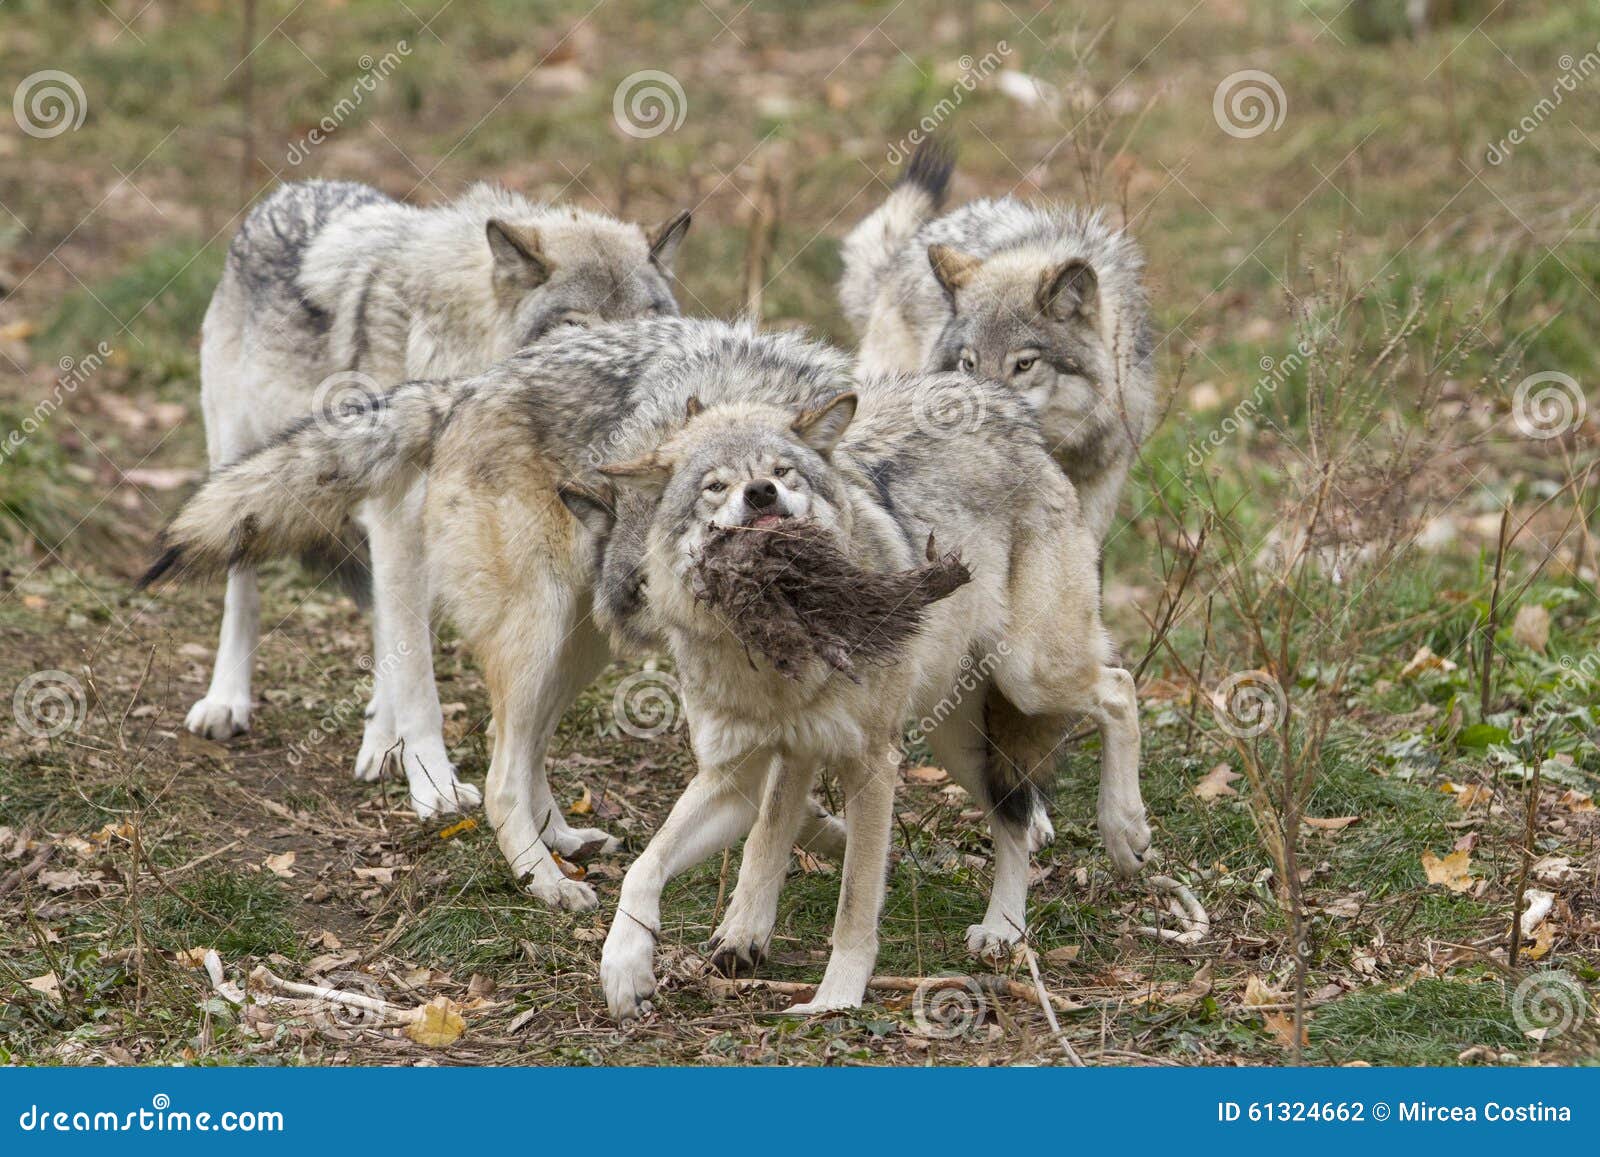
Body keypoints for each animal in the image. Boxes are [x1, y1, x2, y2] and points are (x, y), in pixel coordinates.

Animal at [142, 320, 1149, 936]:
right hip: (550, 631)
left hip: (1012, 665)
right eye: (611, 499)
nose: (631, 588)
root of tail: (464, 387)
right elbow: (774, 811)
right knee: (500, 777)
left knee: (1115, 684)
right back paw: (548, 879)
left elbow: (785, 801)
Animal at [184, 178, 690, 824]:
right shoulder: (399, 527)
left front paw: (404, 755)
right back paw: (227, 701)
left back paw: (379, 741)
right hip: (244, 473)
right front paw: (435, 785)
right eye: (580, 327)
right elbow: (418, 675)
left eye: (653, 325)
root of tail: (287, 192)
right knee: (243, 594)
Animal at [590, 375, 1145, 1018]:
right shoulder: (739, 776)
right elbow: (648, 864)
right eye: (715, 486)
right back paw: (1004, 928)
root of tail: (1003, 405)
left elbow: (855, 901)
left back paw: (1125, 831)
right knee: (1013, 821)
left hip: (1029, 678)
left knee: (1118, 689)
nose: (760, 492)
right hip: (957, 741)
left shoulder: (871, 765)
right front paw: (626, 968)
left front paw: (835, 1000)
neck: (775, 646)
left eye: (783, 471)